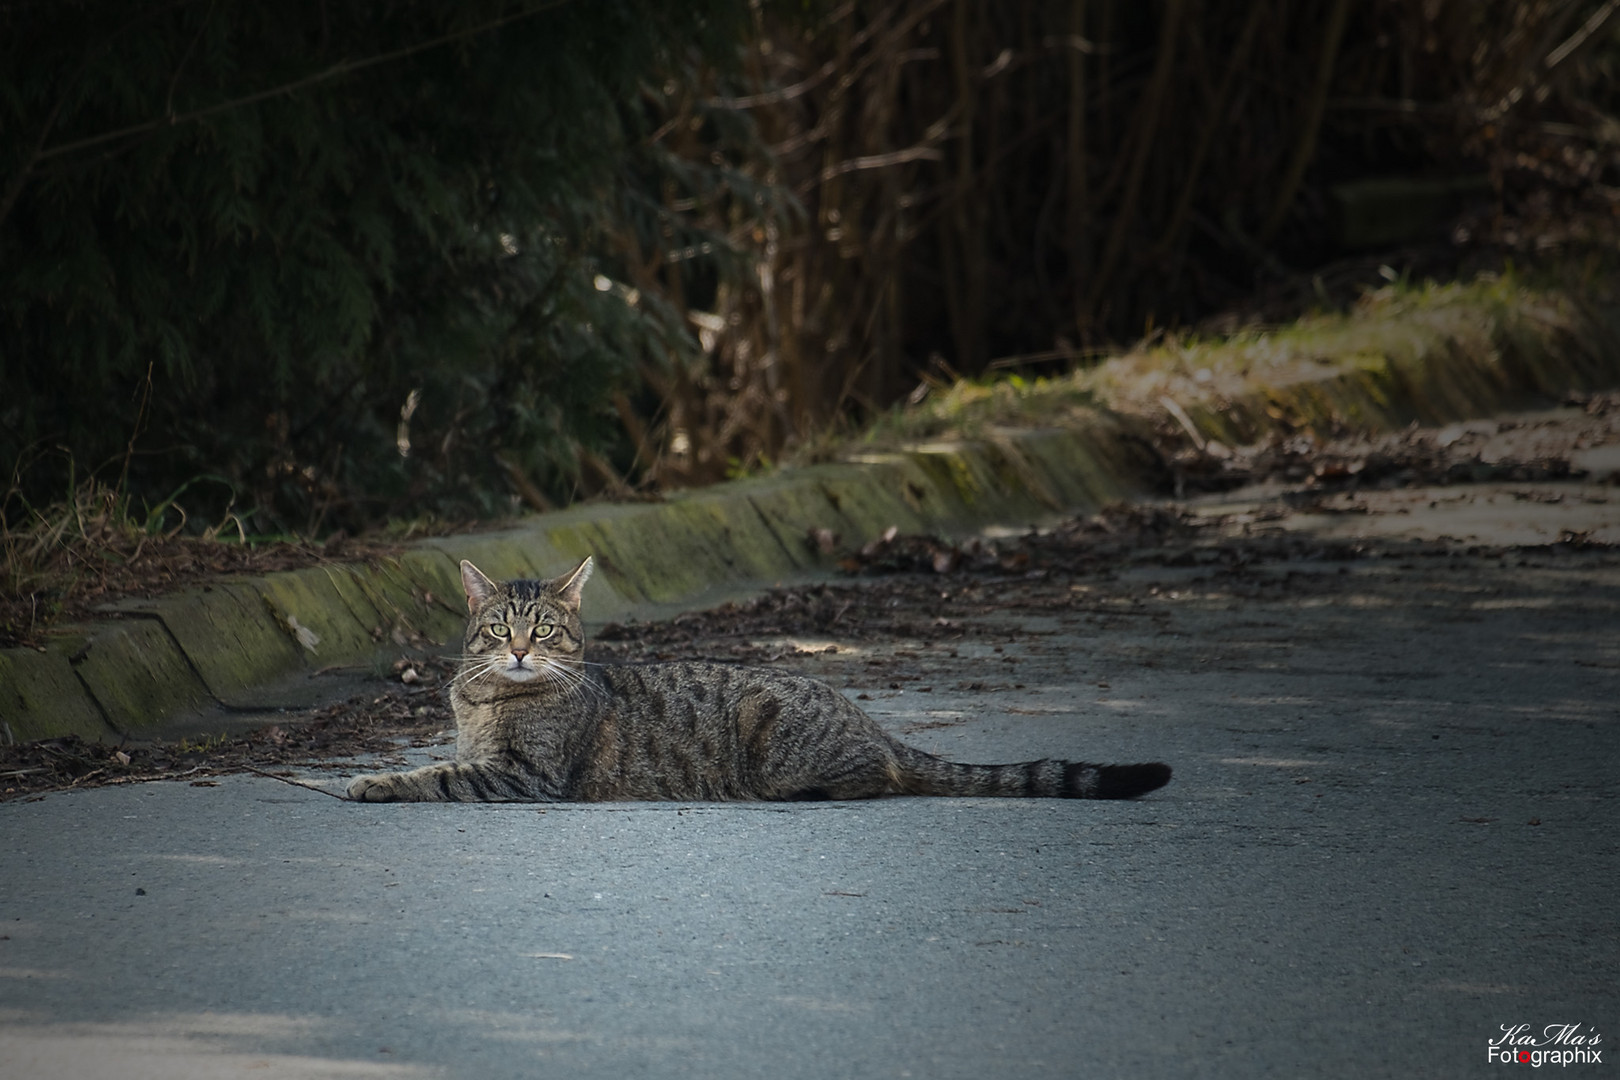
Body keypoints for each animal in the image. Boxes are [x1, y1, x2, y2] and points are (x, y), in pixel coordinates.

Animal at [348, 557, 1172, 803]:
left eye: (544, 630)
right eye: (499, 630)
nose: (520, 651)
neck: (488, 699)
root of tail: (872, 720)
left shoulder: (525, 775)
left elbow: (434, 776)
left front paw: (369, 782)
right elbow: (440, 760)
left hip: (775, 742)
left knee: (877, 777)